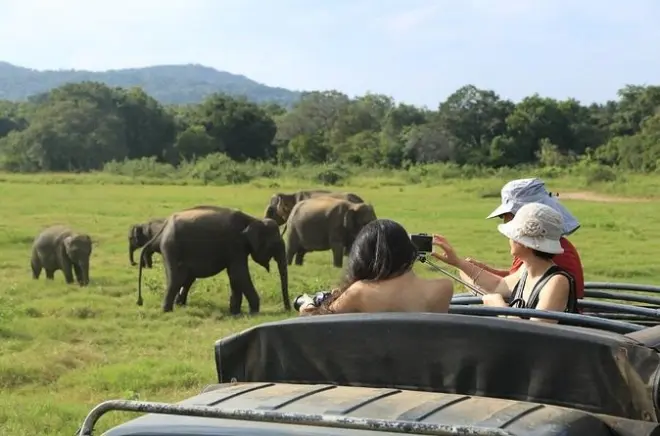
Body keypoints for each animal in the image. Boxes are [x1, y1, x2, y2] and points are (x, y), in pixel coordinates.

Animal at [136, 205, 290, 314]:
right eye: (274, 245)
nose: (287, 310)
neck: (253, 220)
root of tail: (163, 229)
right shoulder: (235, 244)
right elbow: (239, 274)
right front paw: (254, 312)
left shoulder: (236, 249)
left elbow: (234, 276)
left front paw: (235, 312)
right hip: (172, 248)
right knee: (177, 278)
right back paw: (167, 310)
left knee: (186, 278)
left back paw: (179, 305)